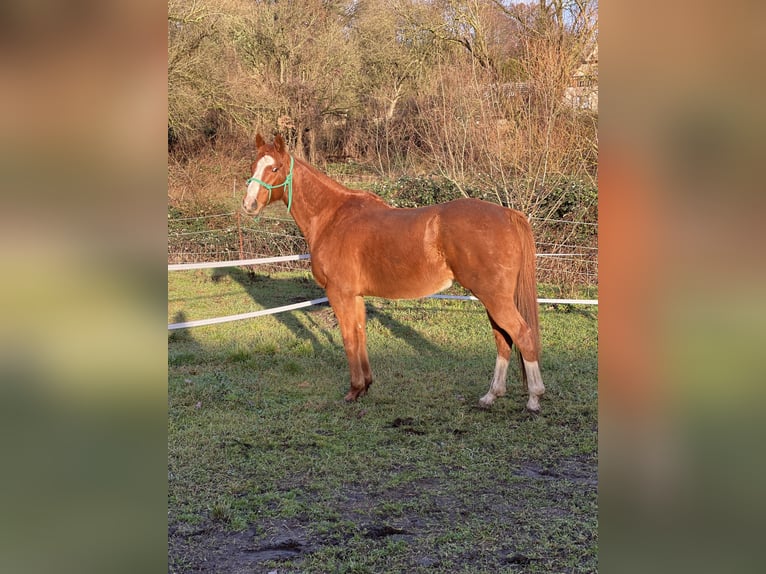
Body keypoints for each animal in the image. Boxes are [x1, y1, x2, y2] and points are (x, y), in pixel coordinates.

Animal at [242, 134, 545, 412]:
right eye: (254, 165)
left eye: (275, 168)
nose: (249, 205)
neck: (333, 218)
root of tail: (508, 215)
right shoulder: (356, 296)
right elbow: (360, 335)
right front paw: (365, 386)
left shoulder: (339, 294)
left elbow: (348, 338)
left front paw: (353, 391)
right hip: (492, 298)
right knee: (503, 340)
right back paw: (491, 395)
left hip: (494, 297)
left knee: (522, 335)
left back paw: (533, 399)